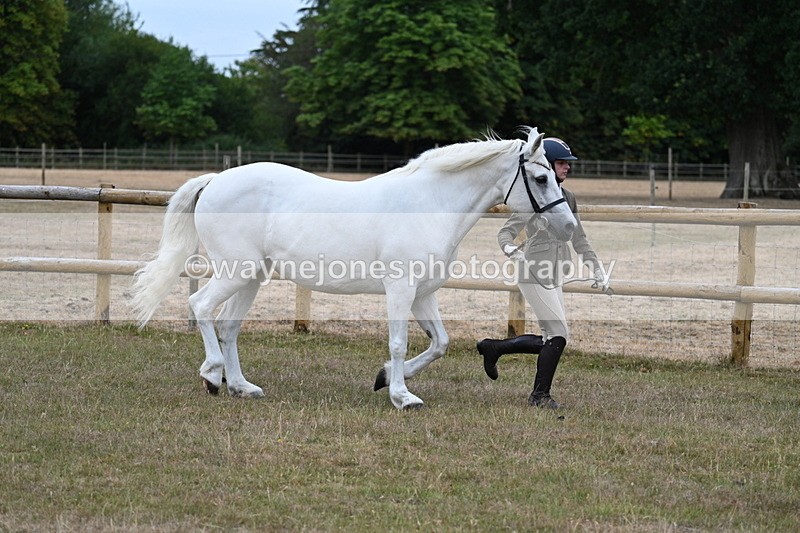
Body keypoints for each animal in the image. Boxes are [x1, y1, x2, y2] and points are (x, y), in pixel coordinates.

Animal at [131, 127, 577, 410]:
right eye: (540, 178)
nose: (569, 226)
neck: (430, 204)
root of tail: (216, 180)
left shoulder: (424, 293)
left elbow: (439, 343)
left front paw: (384, 378)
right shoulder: (400, 288)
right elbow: (399, 343)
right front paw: (402, 396)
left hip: (252, 276)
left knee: (228, 325)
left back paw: (241, 387)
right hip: (236, 271)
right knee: (203, 308)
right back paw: (211, 376)